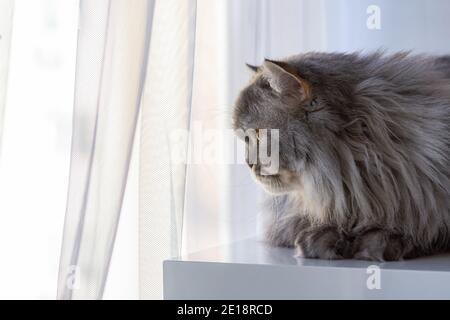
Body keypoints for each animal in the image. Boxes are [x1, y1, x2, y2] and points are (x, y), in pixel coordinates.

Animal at [232, 51, 450, 262]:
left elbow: (419, 228)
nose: (248, 163)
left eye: (258, 134)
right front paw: (324, 238)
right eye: (245, 137)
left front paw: (381, 240)